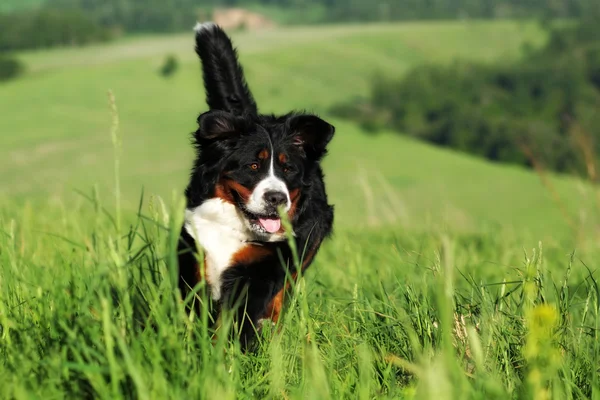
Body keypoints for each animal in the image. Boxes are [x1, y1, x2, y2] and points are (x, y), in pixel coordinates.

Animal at [178, 22, 336, 350]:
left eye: (288, 169)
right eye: (253, 165)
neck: (234, 227)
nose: (276, 198)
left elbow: (238, 319)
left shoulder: (261, 269)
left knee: (281, 297)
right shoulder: (196, 249)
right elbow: (197, 311)